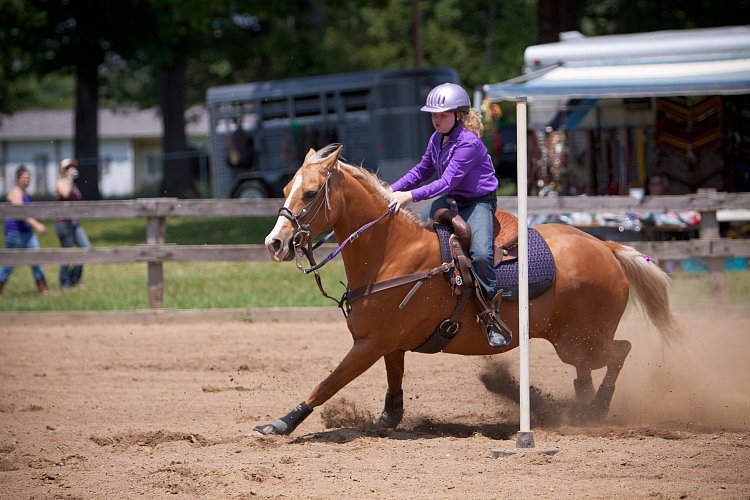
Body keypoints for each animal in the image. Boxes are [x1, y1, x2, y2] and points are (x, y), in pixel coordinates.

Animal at [256, 144, 684, 434]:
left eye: (311, 193)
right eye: (287, 186)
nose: (274, 243)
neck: (392, 251)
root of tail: (605, 246)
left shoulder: (370, 343)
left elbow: (328, 383)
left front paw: (281, 423)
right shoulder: (388, 343)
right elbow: (393, 380)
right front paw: (388, 418)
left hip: (584, 340)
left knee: (620, 352)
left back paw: (595, 410)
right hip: (574, 341)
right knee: (588, 370)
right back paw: (574, 410)